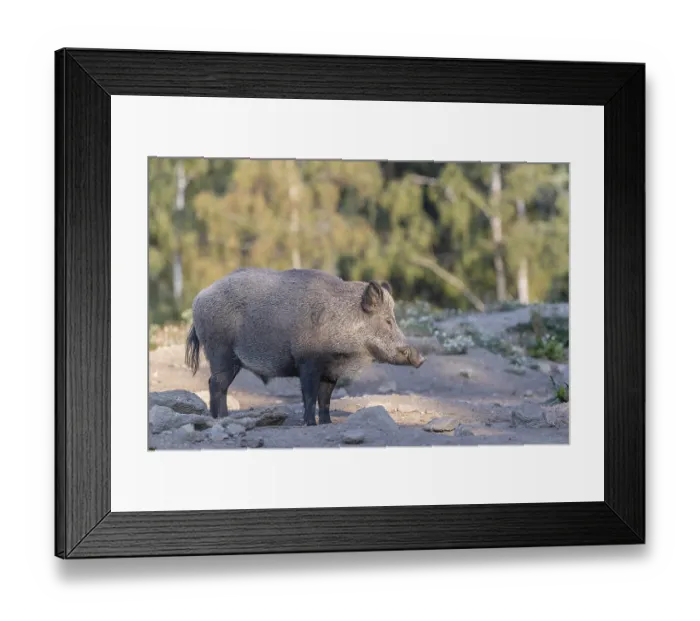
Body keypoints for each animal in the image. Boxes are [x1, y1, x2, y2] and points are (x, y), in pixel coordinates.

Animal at [184, 267, 426, 425]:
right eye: (387, 321)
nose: (421, 358)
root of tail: (199, 297)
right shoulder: (308, 362)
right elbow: (309, 395)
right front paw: (310, 424)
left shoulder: (331, 371)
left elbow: (325, 398)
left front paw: (327, 423)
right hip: (220, 352)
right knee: (216, 384)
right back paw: (221, 419)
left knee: (217, 385)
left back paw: (220, 418)